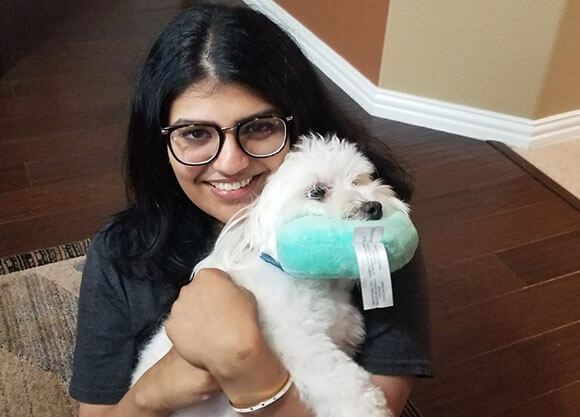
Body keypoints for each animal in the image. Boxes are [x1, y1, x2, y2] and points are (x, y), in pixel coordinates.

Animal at [133, 135, 408, 414]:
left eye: (358, 180)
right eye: (316, 192)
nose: (373, 207)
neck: (309, 282)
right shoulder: (300, 343)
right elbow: (340, 381)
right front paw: (366, 409)